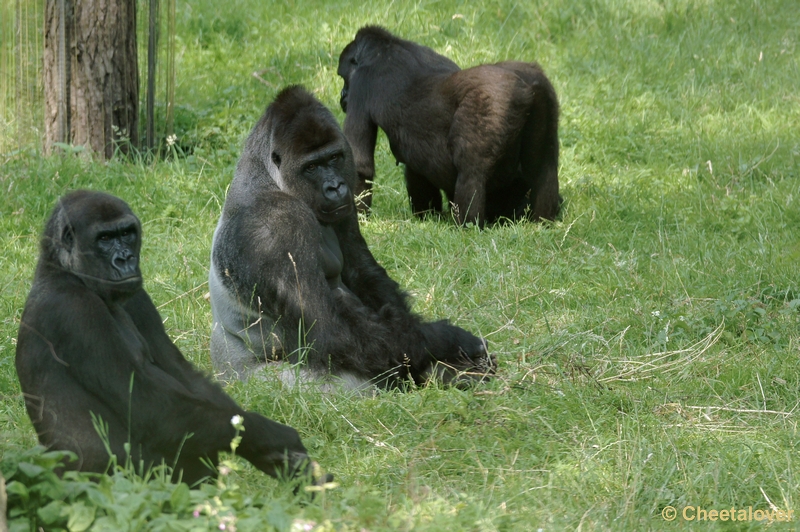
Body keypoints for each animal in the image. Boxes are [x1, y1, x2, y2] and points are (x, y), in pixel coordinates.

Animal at [14, 191, 324, 486]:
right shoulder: (73, 309)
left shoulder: (136, 295)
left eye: (126, 233)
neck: (63, 271)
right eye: (104, 238)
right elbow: (153, 408)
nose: (125, 259)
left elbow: (183, 375)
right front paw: (271, 437)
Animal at [208, 85, 494, 388]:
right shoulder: (275, 226)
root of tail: (224, 374)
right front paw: (446, 340)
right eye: (311, 167)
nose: (335, 187)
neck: (269, 177)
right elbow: (331, 330)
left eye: (334, 157)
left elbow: (361, 271)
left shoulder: (344, 205)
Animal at [340, 26, 564, 225]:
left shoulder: (361, 83)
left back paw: (467, 226)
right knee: (545, 166)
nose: (342, 95)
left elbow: (360, 166)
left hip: (489, 101)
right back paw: (542, 221)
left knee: (470, 170)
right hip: (546, 96)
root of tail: (526, 86)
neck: (385, 49)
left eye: (343, 78)